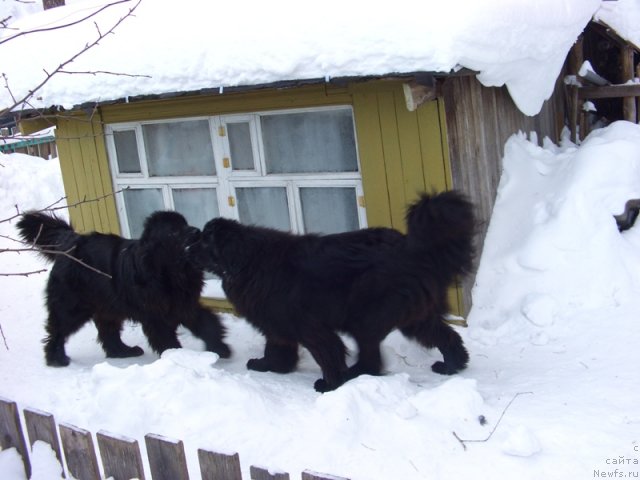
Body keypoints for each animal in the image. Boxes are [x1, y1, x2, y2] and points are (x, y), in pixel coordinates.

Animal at [15, 212, 232, 366]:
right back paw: (56, 358)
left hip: (108, 305)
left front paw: (220, 348)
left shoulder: (185, 304)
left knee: (108, 331)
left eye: (185, 223)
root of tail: (70, 242)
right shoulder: (156, 315)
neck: (169, 271)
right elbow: (165, 337)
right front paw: (176, 357)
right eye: (174, 231)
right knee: (58, 330)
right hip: (72, 306)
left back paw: (122, 351)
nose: (196, 231)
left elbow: (207, 323)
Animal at [191, 189, 476, 392]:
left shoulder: (309, 325)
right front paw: (270, 366)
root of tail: (414, 249)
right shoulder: (276, 323)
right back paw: (453, 365)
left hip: (368, 314)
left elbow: (327, 352)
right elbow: (276, 347)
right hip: (414, 316)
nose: (187, 245)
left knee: (371, 354)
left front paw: (330, 384)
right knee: (446, 336)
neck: (246, 261)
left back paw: (355, 373)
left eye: (205, 241)